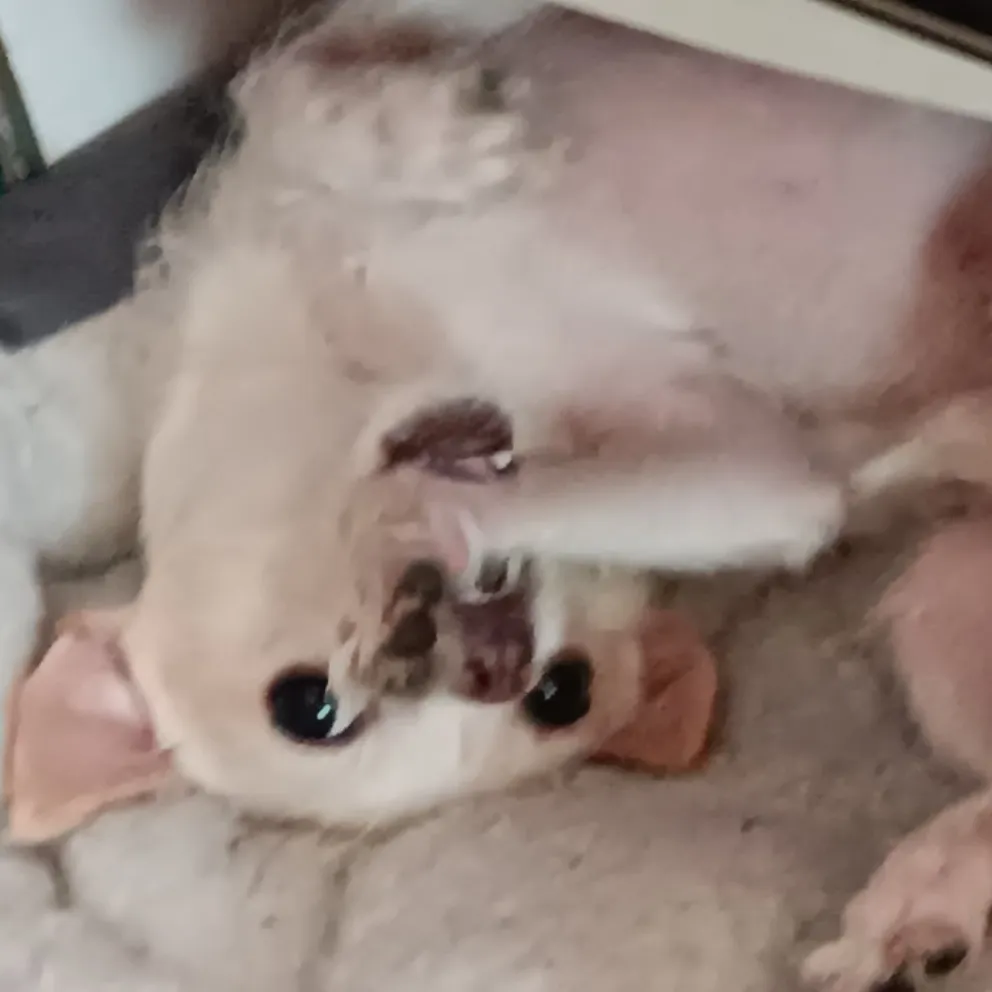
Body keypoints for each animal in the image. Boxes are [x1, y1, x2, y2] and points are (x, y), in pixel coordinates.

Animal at [4, 6, 992, 988]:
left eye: (304, 707)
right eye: (561, 695)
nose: (483, 663)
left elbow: (275, 76)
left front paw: (426, 132)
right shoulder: (768, 477)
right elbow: (766, 491)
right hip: (936, 605)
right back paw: (924, 909)